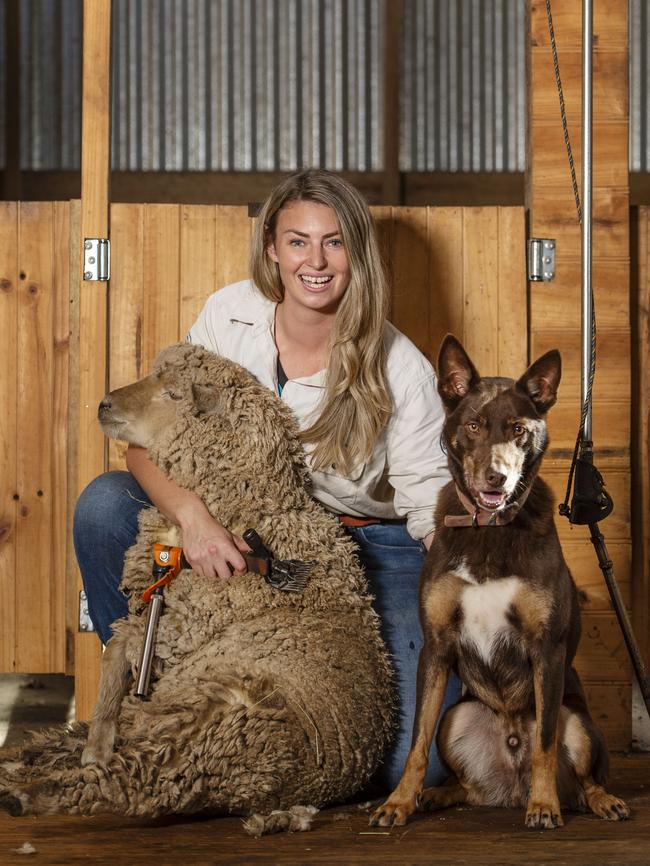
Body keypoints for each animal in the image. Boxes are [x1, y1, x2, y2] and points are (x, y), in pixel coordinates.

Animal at [0, 340, 392, 828]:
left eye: (172, 393)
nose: (104, 404)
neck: (249, 510)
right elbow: (116, 652)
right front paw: (98, 734)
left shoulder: (177, 628)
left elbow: (118, 651)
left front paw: (98, 744)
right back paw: (27, 761)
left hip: (192, 729)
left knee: (117, 786)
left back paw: (28, 791)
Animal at [370, 334, 628, 828]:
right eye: (473, 426)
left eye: (518, 429)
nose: (498, 477)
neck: (489, 529)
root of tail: (510, 785)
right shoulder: (436, 646)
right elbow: (416, 743)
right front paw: (399, 801)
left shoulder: (547, 648)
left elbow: (545, 742)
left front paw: (543, 806)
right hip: (458, 716)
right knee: (466, 785)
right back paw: (437, 795)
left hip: (579, 723)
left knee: (583, 775)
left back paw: (597, 799)